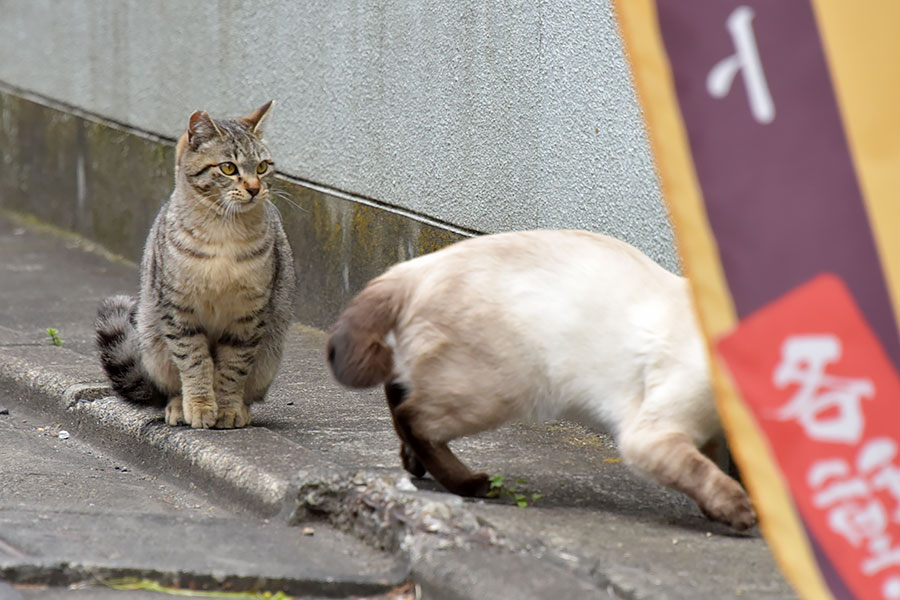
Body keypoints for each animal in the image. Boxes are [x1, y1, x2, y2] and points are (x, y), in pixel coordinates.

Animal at [98, 104, 296, 432]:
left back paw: (241, 409)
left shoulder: (247, 317)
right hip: (153, 343)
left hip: (269, 354)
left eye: (262, 166)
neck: (224, 232)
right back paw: (178, 406)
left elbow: (232, 368)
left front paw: (226, 408)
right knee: (171, 387)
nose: (255, 188)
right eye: (228, 168)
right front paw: (201, 406)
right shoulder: (179, 312)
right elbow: (194, 362)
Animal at [326, 230, 756, 528]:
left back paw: (416, 465)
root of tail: (415, 267)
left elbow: (710, 466)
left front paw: (717, 512)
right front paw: (739, 513)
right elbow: (703, 472)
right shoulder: (653, 435)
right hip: (493, 393)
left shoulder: (706, 432)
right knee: (411, 417)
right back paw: (472, 485)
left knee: (399, 395)